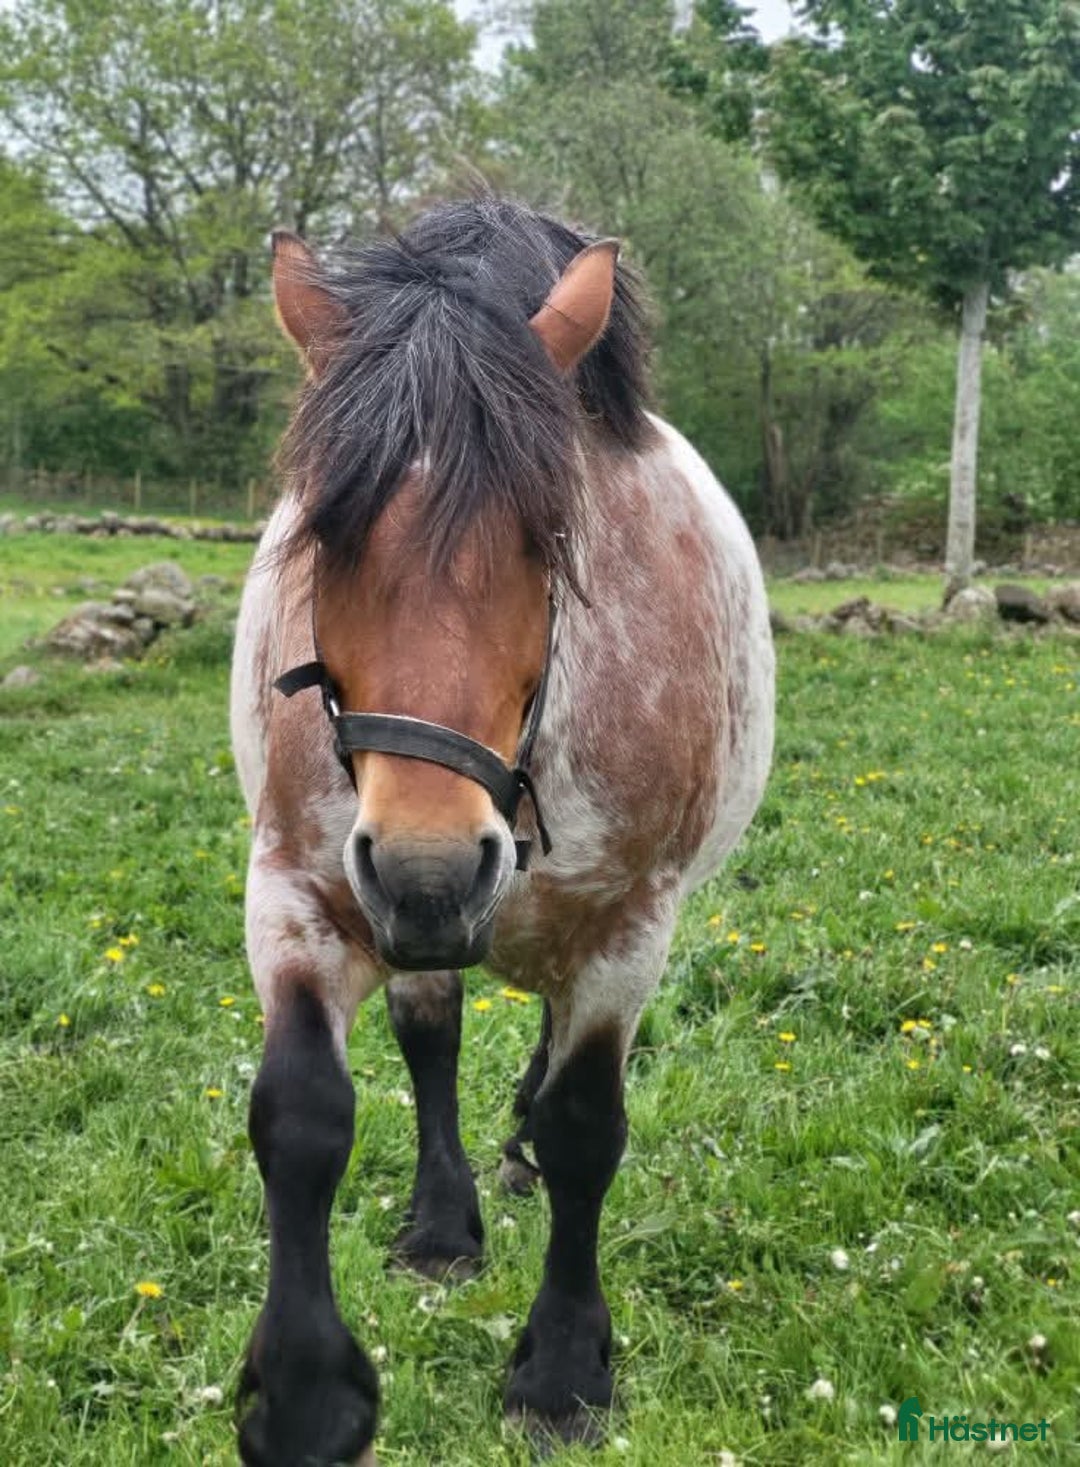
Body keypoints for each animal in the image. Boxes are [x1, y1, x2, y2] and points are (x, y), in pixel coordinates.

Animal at [229, 196, 774, 1465]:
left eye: (548, 536)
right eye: (325, 532)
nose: (429, 869)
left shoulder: (627, 927)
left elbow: (584, 1128)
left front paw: (563, 1372)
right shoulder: (300, 892)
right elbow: (302, 1113)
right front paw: (306, 1395)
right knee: (432, 1038)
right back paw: (443, 1223)